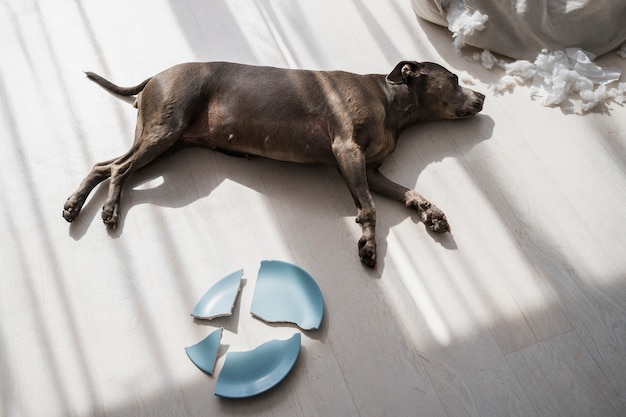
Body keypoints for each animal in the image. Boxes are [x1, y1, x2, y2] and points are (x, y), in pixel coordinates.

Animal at [63, 60, 482, 266]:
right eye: (455, 78)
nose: (482, 98)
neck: (390, 99)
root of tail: (156, 75)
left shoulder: (371, 171)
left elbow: (406, 191)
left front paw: (430, 211)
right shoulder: (348, 153)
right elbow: (369, 208)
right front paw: (368, 245)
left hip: (164, 142)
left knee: (104, 165)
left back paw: (73, 204)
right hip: (163, 133)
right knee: (118, 169)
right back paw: (109, 210)